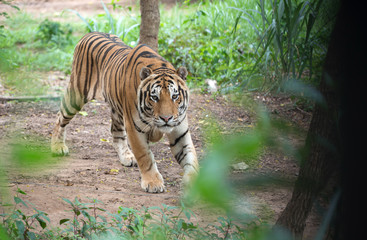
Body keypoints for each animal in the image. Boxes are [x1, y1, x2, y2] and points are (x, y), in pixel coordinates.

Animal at [50, 31, 200, 193]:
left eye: (175, 96)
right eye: (154, 97)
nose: (166, 118)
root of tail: (90, 33)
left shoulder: (180, 131)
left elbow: (190, 156)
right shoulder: (135, 128)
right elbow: (145, 156)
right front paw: (153, 182)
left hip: (117, 110)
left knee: (116, 132)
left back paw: (126, 156)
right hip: (76, 96)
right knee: (60, 117)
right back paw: (58, 147)